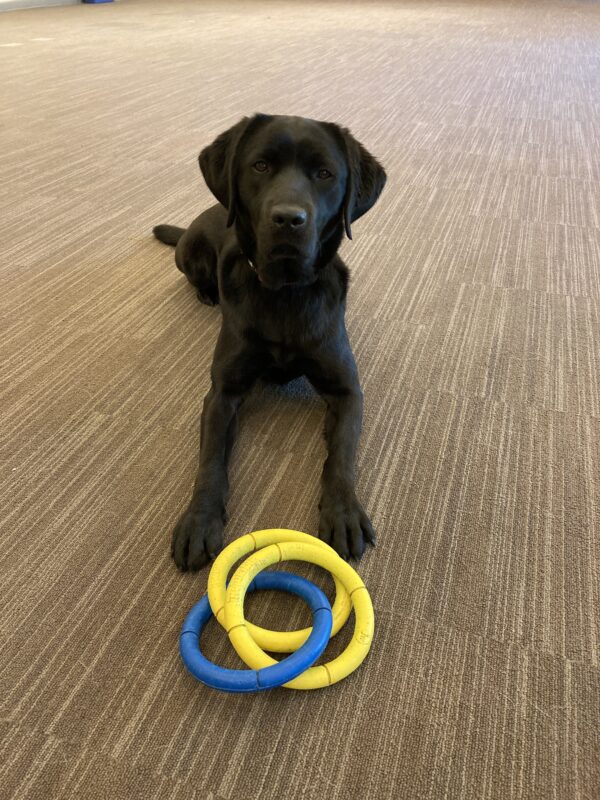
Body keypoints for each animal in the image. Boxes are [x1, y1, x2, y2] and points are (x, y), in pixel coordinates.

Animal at [155, 115, 386, 572]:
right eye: (260, 166)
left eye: (324, 173)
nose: (288, 219)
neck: (286, 293)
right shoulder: (222, 393)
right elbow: (210, 461)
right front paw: (199, 520)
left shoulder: (347, 389)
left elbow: (342, 454)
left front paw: (343, 514)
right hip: (191, 253)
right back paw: (207, 294)